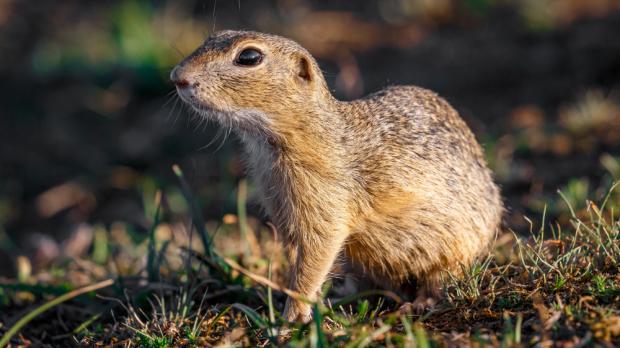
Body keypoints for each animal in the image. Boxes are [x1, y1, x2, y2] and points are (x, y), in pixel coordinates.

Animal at [171, 30, 504, 324]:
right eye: (210, 38)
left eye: (249, 57)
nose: (177, 76)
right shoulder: (283, 212)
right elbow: (298, 258)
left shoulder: (324, 203)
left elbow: (315, 257)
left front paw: (292, 316)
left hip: (455, 249)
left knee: (439, 283)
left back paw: (417, 304)